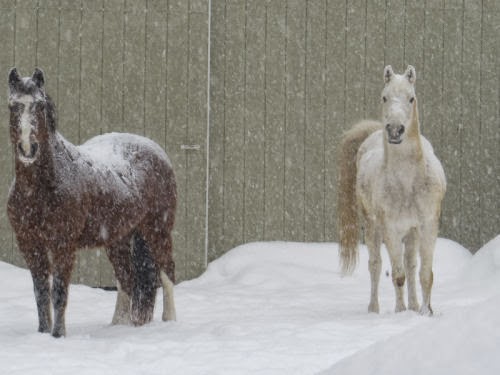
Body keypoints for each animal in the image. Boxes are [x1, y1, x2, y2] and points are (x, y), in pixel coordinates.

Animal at [6, 67, 177, 338]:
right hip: (118, 238)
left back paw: (170, 320)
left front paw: (58, 335)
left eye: (40, 105)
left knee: (166, 271)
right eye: (13, 105)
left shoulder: (63, 245)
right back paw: (118, 325)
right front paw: (43, 333)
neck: (41, 189)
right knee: (126, 278)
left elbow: (59, 292)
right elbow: (41, 293)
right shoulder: (29, 244)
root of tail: (157, 152)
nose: (28, 148)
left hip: (158, 230)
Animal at [338, 66, 448, 316]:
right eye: (384, 97)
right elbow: (398, 275)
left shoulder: (428, 226)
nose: (395, 130)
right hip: (372, 226)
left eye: (411, 98)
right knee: (376, 265)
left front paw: (425, 312)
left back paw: (415, 305)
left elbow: (425, 274)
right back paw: (374, 309)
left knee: (411, 264)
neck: (407, 183)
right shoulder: (391, 229)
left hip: (412, 232)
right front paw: (400, 312)